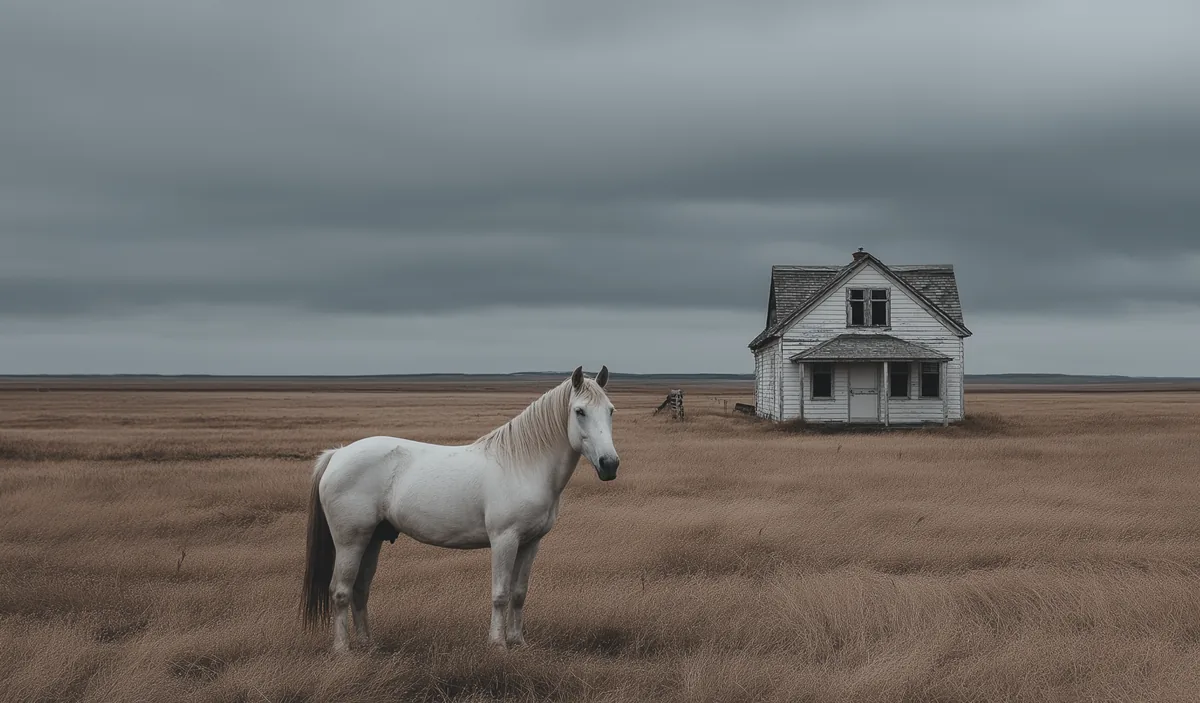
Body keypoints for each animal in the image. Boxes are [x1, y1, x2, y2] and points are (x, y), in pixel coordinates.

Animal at [300, 365, 620, 653]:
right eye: (579, 411)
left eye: (610, 411)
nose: (610, 464)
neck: (524, 465)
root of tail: (338, 454)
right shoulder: (505, 539)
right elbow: (500, 594)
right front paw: (498, 645)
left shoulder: (531, 543)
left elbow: (519, 593)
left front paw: (518, 642)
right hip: (350, 541)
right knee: (340, 591)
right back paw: (343, 650)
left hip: (372, 540)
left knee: (360, 590)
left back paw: (368, 645)